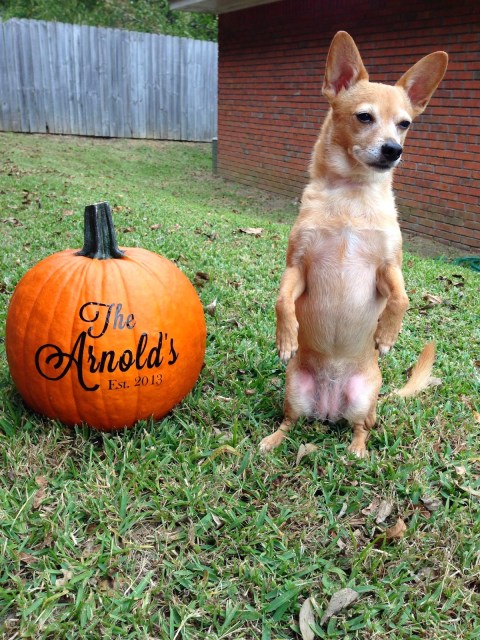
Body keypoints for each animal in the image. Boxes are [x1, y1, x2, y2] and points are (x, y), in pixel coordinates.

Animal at [260, 31, 448, 458]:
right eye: (364, 117)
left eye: (405, 124)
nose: (394, 149)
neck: (351, 195)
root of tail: (330, 409)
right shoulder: (298, 267)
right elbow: (281, 300)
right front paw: (286, 336)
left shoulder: (388, 268)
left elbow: (402, 298)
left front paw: (387, 334)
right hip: (295, 388)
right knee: (290, 422)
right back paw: (273, 439)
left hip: (364, 397)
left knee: (361, 427)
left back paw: (357, 451)